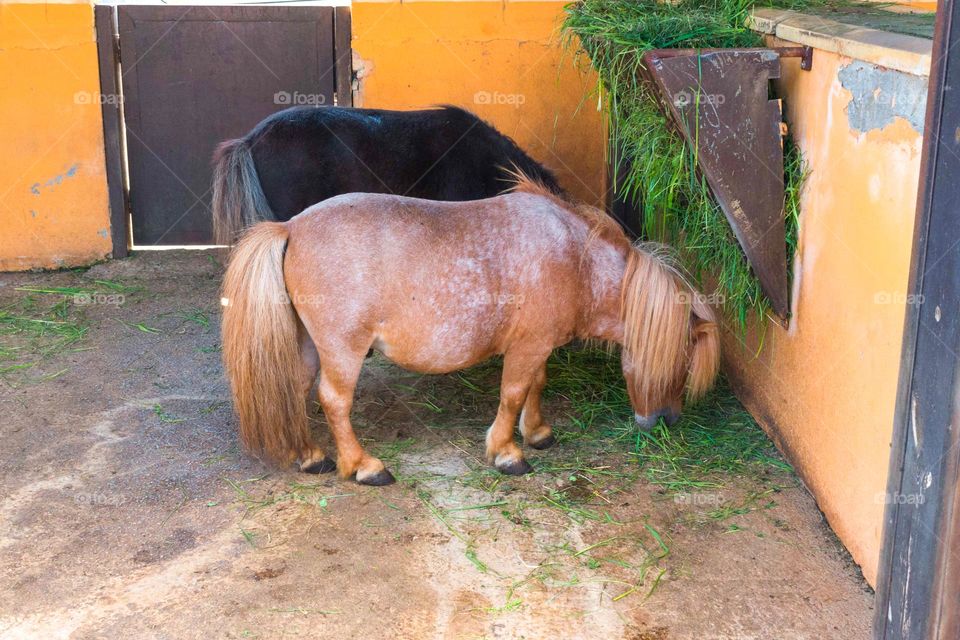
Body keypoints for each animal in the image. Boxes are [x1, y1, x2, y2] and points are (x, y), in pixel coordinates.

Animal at [220, 176, 720, 485]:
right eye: (679, 361)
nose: (666, 421)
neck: (575, 259)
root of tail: (290, 227)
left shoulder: (536, 347)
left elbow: (535, 385)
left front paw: (537, 433)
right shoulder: (529, 346)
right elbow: (513, 393)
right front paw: (507, 452)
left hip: (308, 343)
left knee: (296, 387)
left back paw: (311, 456)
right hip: (343, 349)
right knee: (333, 400)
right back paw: (364, 467)